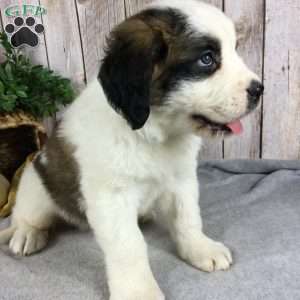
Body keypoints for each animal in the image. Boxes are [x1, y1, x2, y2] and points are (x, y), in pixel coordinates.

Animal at [0, 1, 262, 298]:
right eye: (207, 59)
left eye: (234, 49)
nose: (259, 90)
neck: (153, 132)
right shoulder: (112, 197)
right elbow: (129, 245)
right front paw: (138, 290)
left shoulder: (181, 180)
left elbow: (188, 218)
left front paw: (200, 248)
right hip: (36, 184)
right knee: (28, 215)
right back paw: (27, 233)